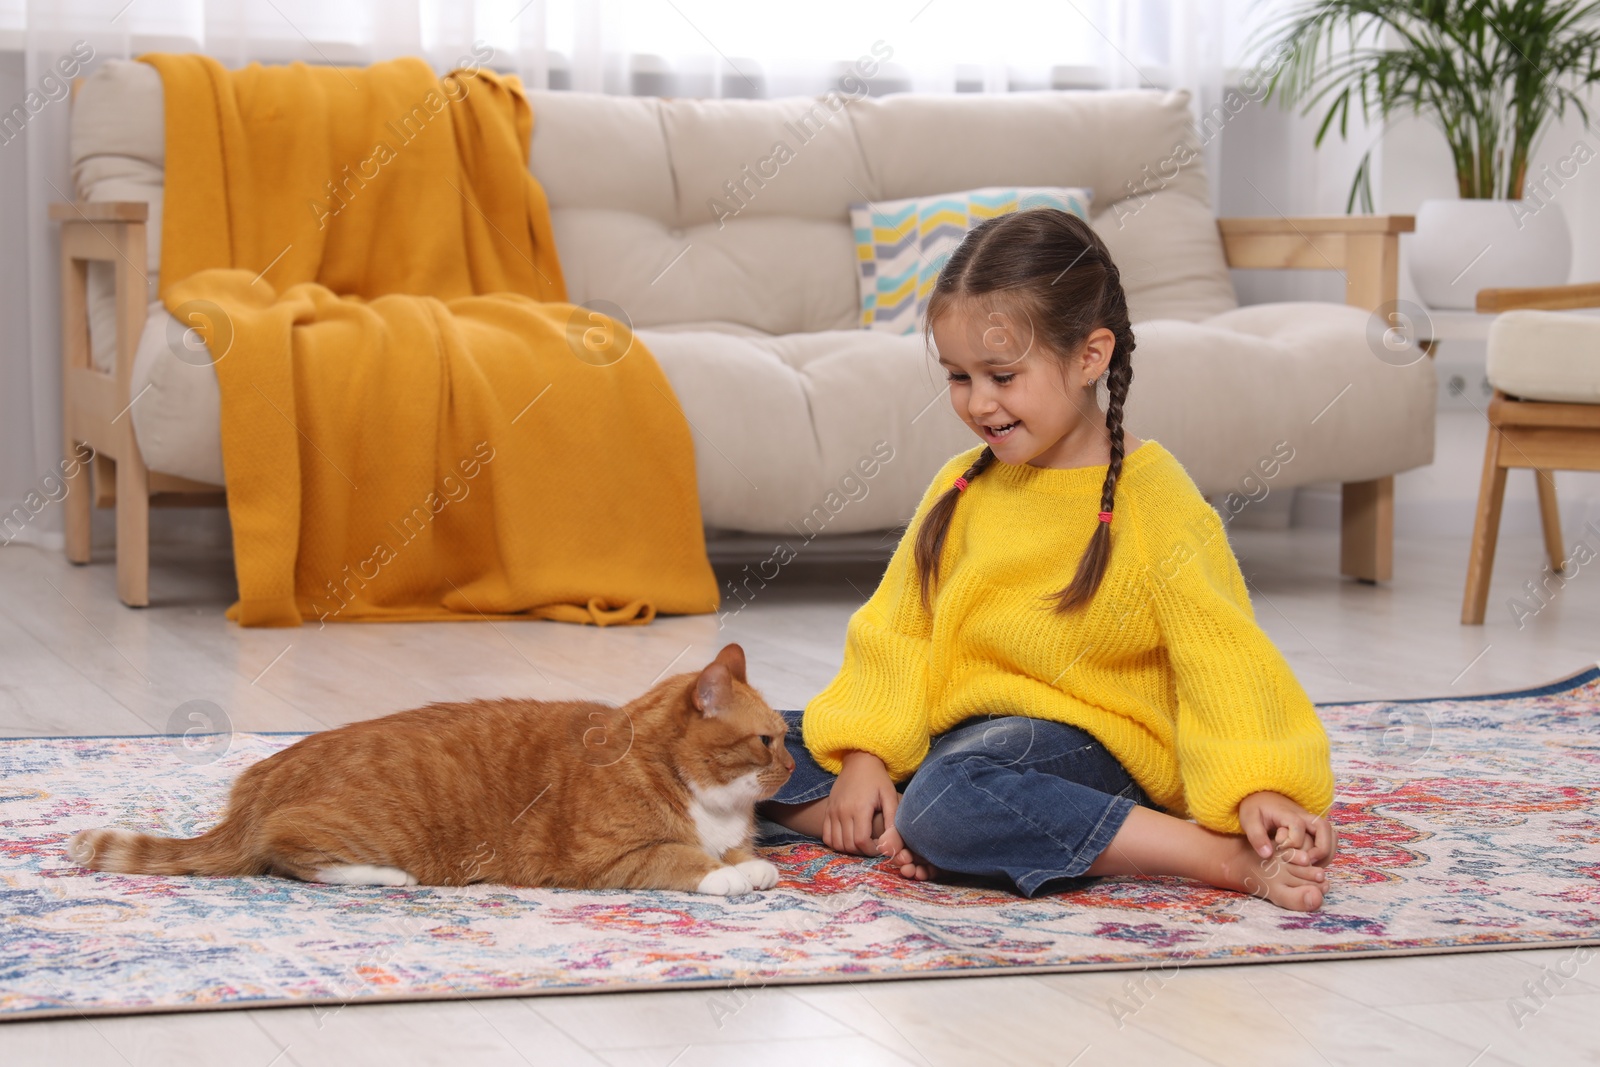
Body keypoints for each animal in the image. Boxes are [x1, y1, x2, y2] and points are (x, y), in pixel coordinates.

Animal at [72, 646, 796, 895]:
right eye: (767, 739)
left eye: (788, 738)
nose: (793, 764)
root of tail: (257, 789)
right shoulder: (609, 858)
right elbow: (686, 860)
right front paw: (736, 873)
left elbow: (733, 851)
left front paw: (748, 860)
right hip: (357, 832)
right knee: (287, 856)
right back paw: (388, 876)